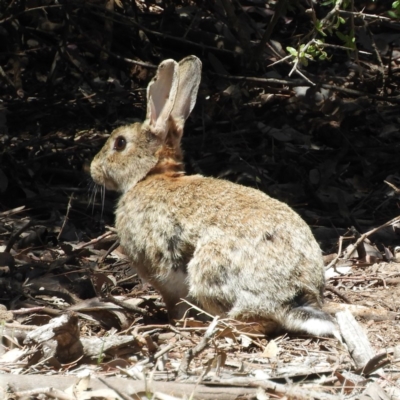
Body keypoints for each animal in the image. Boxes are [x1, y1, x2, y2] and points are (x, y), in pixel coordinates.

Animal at [90, 55, 338, 338]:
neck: (151, 176)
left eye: (120, 143)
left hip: (209, 271)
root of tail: (293, 299)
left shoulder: (161, 274)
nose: (93, 170)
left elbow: (173, 301)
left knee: (254, 322)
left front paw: (173, 320)